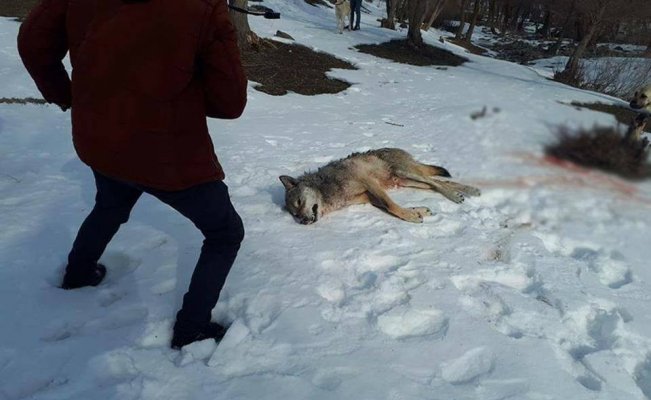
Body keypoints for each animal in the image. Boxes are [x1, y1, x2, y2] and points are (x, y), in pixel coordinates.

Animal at [278, 148, 482, 225]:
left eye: (299, 202)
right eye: (295, 214)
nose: (303, 222)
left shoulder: (370, 183)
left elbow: (391, 206)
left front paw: (411, 217)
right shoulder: (370, 197)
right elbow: (390, 206)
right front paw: (419, 211)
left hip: (405, 173)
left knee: (435, 181)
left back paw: (458, 195)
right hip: (406, 181)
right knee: (438, 183)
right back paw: (467, 191)